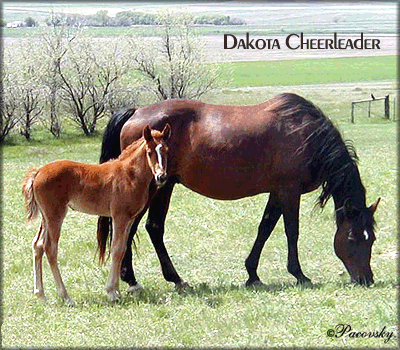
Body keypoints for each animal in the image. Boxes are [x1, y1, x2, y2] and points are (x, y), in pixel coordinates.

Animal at [22, 123, 171, 304]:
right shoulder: (119, 217)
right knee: (50, 248)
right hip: (55, 216)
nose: (161, 177)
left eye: (166, 150)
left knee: (37, 245)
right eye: (149, 152)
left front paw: (117, 290)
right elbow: (116, 249)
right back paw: (66, 297)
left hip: (46, 218)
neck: (129, 175)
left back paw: (41, 294)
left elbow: (122, 249)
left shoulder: (129, 219)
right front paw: (112, 292)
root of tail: (38, 171)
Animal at [98, 91, 380, 292]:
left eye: (372, 239)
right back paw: (135, 279)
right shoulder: (290, 191)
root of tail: (136, 112)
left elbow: (265, 228)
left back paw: (168, 279)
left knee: (150, 228)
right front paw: (299, 274)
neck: (308, 136)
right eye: (352, 238)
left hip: (164, 186)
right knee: (133, 227)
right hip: (155, 188)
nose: (366, 279)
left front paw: (252, 274)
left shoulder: (277, 192)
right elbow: (291, 232)